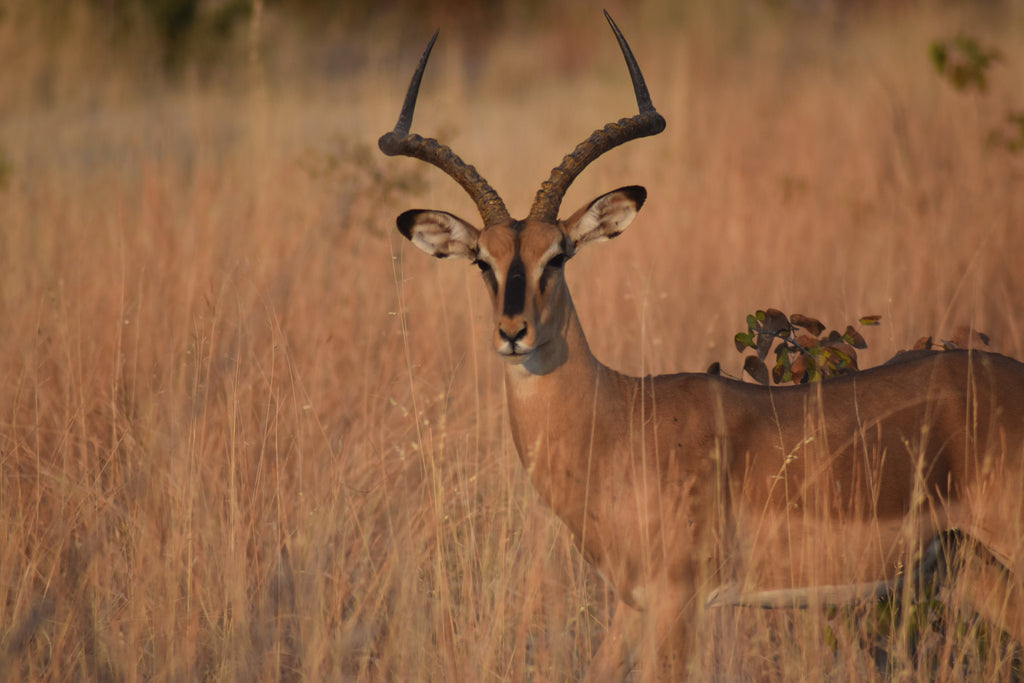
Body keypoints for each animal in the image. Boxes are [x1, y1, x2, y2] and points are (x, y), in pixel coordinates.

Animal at [379, 12, 1024, 679]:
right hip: (971, 567)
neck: (617, 420)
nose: (513, 332)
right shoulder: (632, 604)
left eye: (558, 255)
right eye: (484, 260)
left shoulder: (677, 598)